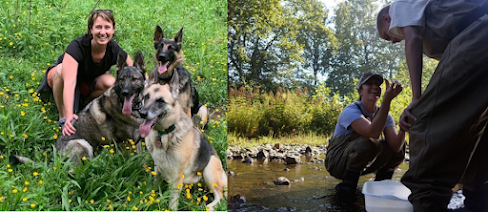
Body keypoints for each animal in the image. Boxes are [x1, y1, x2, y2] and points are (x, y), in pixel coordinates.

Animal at [10, 51, 145, 167]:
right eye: (122, 79)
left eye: (134, 79)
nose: (125, 92)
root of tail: (54, 159)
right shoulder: (125, 144)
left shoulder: (136, 143)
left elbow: (141, 160)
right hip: (82, 144)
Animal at [139, 71, 227, 210]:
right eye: (146, 97)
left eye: (160, 101)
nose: (141, 113)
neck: (165, 134)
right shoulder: (157, 167)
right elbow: (155, 184)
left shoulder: (176, 179)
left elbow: (172, 204)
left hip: (209, 170)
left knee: (220, 195)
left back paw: (208, 207)